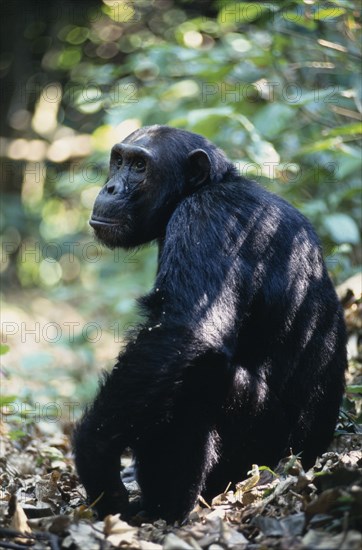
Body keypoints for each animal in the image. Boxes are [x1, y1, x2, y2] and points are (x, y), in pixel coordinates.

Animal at [72, 126, 346, 528]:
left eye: (139, 166)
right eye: (119, 160)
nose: (110, 187)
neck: (200, 190)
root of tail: (312, 461)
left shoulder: (206, 219)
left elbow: (184, 329)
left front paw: (96, 459)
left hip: (267, 456)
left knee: (201, 378)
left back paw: (165, 511)